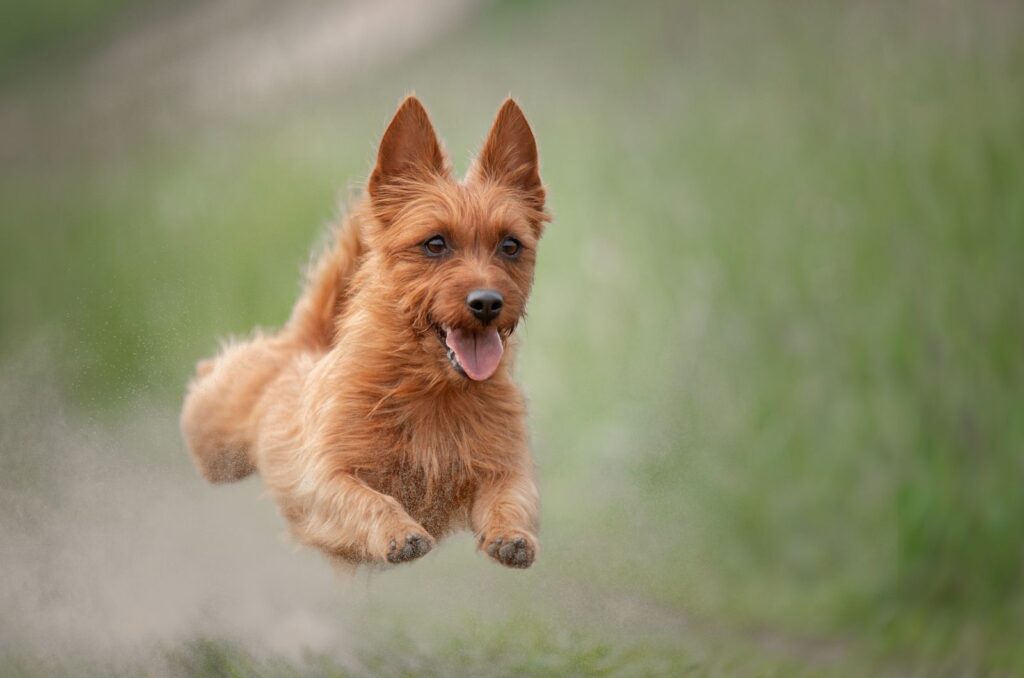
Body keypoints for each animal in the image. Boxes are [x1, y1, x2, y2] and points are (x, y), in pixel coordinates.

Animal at [182, 96, 552, 573]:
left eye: (510, 245)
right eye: (435, 243)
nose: (487, 303)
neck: (431, 393)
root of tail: (306, 342)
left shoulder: (507, 466)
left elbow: (511, 496)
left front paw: (512, 535)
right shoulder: (323, 481)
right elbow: (368, 499)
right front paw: (399, 533)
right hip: (216, 440)